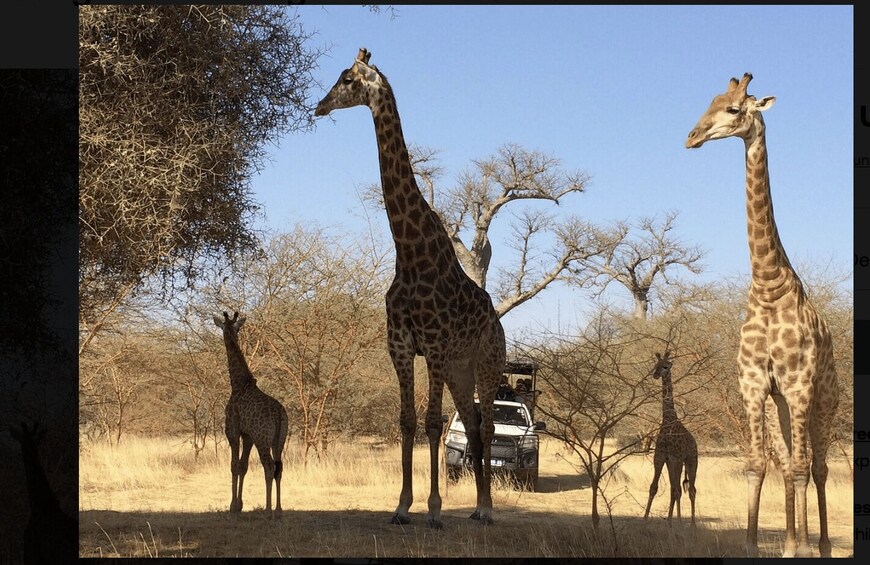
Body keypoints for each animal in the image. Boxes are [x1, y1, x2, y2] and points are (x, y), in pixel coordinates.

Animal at [213, 311, 289, 517]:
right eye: (235, 328)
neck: (239, 384)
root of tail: (279, 414)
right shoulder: (248, 435)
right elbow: (243, 466)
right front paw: (239, 505)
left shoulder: (233, 431)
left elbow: (234, 466)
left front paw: (232, 507)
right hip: (279, 440)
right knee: (279, 467)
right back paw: (279, 510)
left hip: (263, 439)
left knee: (269, 466)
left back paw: (268, 511)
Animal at [315, 48, 506, 528]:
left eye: (347, 79)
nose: (320, 106)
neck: (409, 249)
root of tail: (497, 320)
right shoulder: (400, 344)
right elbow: (406, 421)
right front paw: (402, 506)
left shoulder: (433, 345)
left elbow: (434, 423)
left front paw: (435, 511)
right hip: (459, 369)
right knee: (472, 425)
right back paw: (475, 506)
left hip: (487, 359)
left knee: (488, 424)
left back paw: (486, 508)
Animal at [643, 351, 698, 526]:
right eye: (656, 365)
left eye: (666, 366)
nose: (655, 375)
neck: (668, 421)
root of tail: (695, 443)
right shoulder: (660, 457)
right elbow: (654, 487)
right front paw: (645, 519)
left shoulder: (676, 458)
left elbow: (678, 490)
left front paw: (678, 522)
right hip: (672, 463)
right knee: (675, 488)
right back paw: (670, 520)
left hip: (691, 460)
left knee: (691, 489)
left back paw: (692, 524)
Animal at [686, 73, 839, 557]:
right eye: (711, 101)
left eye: (735, 109)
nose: (692, 137)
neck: (769, 286)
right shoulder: (754, 385)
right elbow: (758, 464)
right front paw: (755, 544)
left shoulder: (798, 384)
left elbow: (803, 468)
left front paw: (804, 549)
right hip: (781, 407)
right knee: (789, 461)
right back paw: (791, 541)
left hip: (823, 399)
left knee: (817, 466)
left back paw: (819, 545)